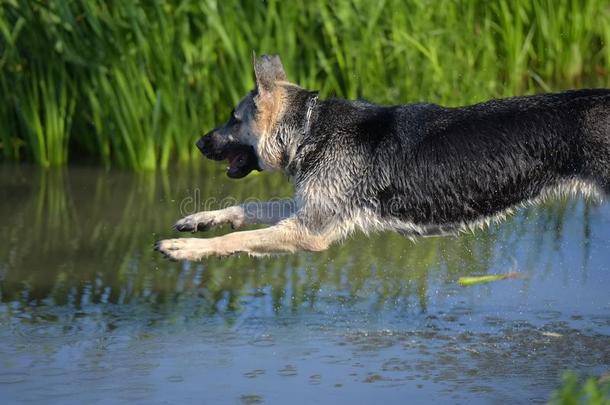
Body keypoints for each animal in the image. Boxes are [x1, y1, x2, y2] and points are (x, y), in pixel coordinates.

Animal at [153, 55, 608, 260]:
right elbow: (246, 208)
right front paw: (200, 220)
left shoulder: (310, 231)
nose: (197, 143)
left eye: (233, 118)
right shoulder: (310, 209)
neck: (308, 129)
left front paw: (185, 249)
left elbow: (237, 240)